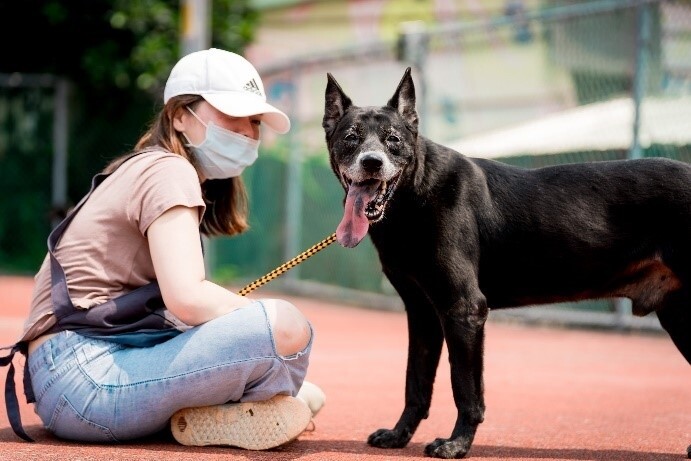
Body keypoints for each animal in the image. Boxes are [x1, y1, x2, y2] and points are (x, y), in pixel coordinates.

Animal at [324, 67, 691, 456]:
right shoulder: (422, 314)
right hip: (678, 315)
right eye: (350, 138)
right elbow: (416, 384)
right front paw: (399, 435)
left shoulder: (464, 309)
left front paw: (457, 445)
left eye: (393, 139)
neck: (413, 197)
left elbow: (466, 389)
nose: (372, 162)